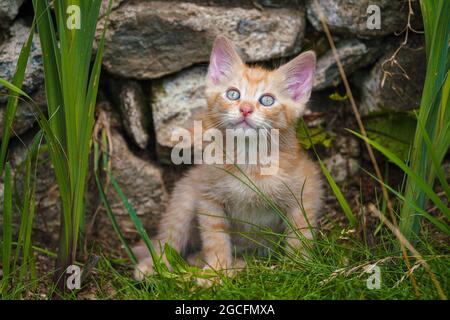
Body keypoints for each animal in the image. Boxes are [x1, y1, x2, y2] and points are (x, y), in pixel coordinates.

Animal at [134, 35, 324, 280]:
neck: (249, 159)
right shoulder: (208, 196)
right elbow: (215, 236)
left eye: (267, 100)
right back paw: (155, 265)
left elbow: (299, 234)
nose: (245, 109)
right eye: (233, 94)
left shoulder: (305, 190)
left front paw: (300, 268)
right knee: (169, 236)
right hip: (184, 196)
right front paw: (216, 272)